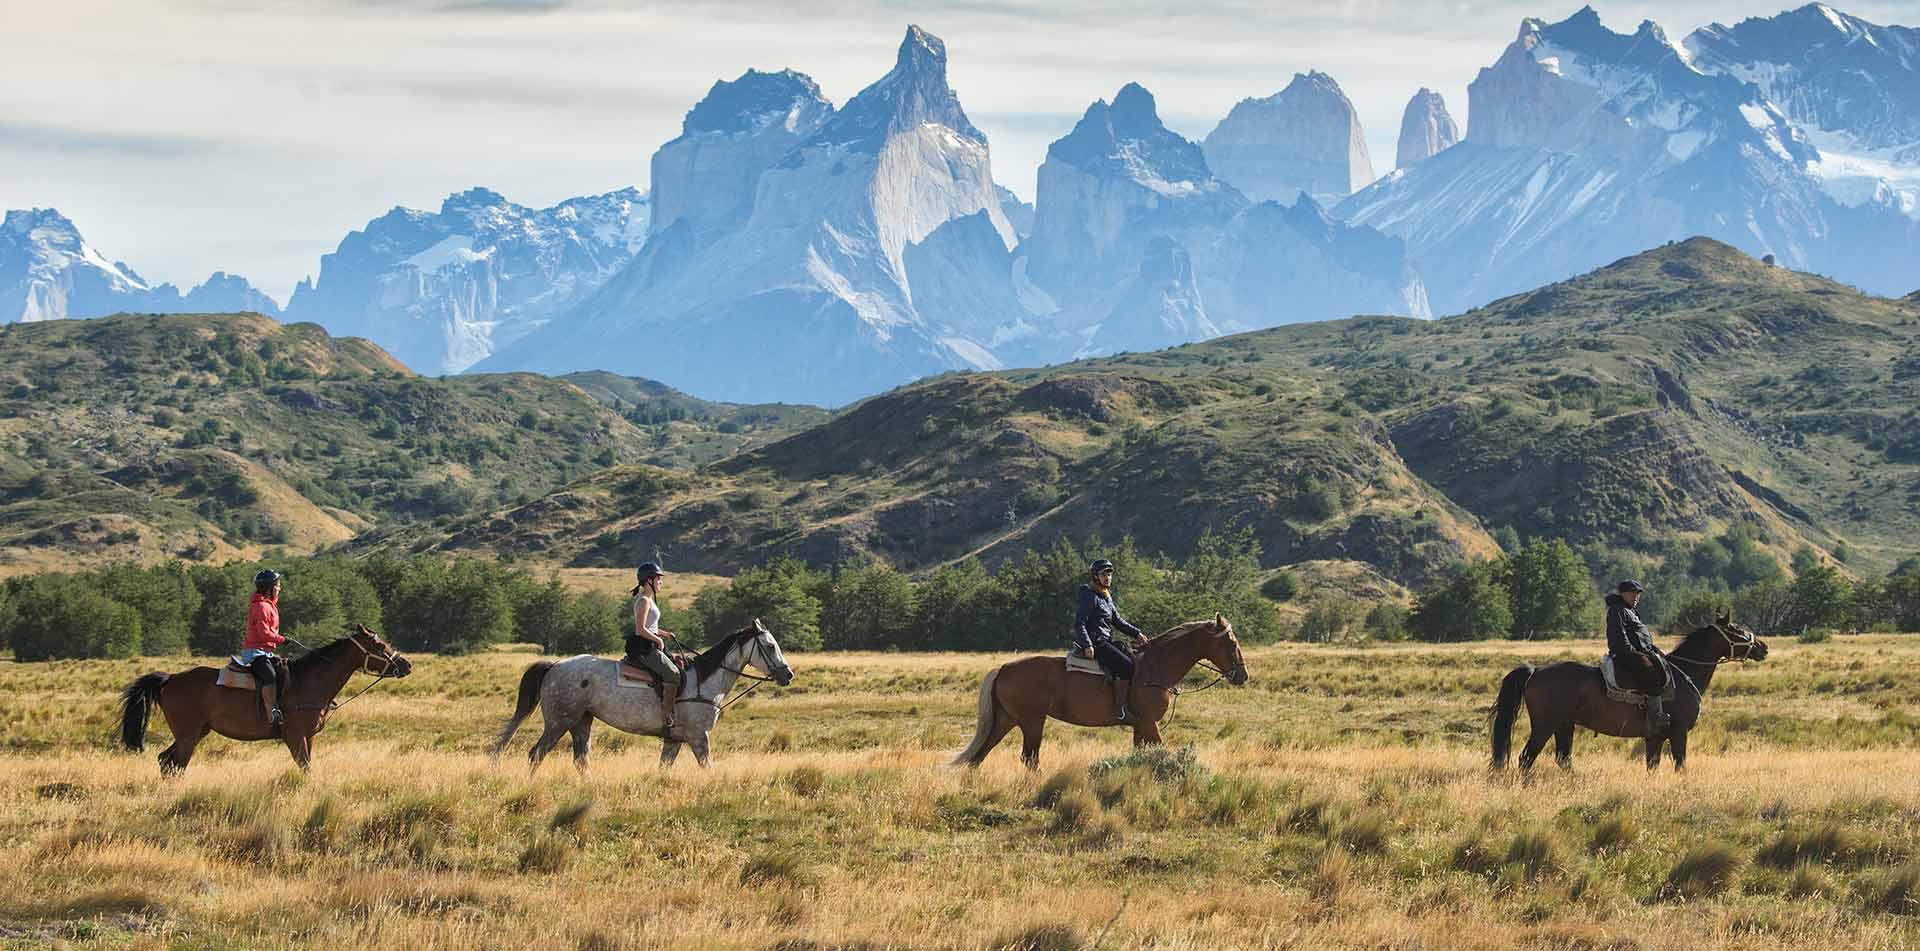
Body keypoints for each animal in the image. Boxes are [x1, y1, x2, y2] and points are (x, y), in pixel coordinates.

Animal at [119, 626, 412, 776]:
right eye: (379, 646)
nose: (406, 665)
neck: (309, 681)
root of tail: (170, 679)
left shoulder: (308, 737)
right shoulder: (294, 737)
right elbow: (305, 768)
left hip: (197, 731)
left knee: (166, 761)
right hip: (188, 734)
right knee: (175, 763)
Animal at [499, 618, 798, 776]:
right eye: (770, 645)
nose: (788, 674)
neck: (703, 681)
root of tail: (555, 666)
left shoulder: (674, 741)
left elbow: (663, 769)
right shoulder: (699, 737)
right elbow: (708, 767)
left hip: (582, 722)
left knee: (581, 759)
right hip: (559, 722)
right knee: (536, 754)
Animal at [948, 614, 1251, 772]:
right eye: (1230, 642)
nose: (1242, 676)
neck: (1154, 667)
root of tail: (1003, 668)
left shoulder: (1140, 726)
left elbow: (1140, 755)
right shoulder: (1149, 724)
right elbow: (1160, 751)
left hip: (1006, 720)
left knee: (981, 754)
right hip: (1032, 722)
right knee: (1028, 758)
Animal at [1489, 610, 1774, 776]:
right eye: (1735, 629)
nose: (1763, 647)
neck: (1686, 672)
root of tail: (1535, 671)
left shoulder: (1655, 739)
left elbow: (1653, 766)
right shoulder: (1678, 733)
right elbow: (1680, 765)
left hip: (1564, 725)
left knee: (1563, 759)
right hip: (1545, 726)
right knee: (1526, 758)